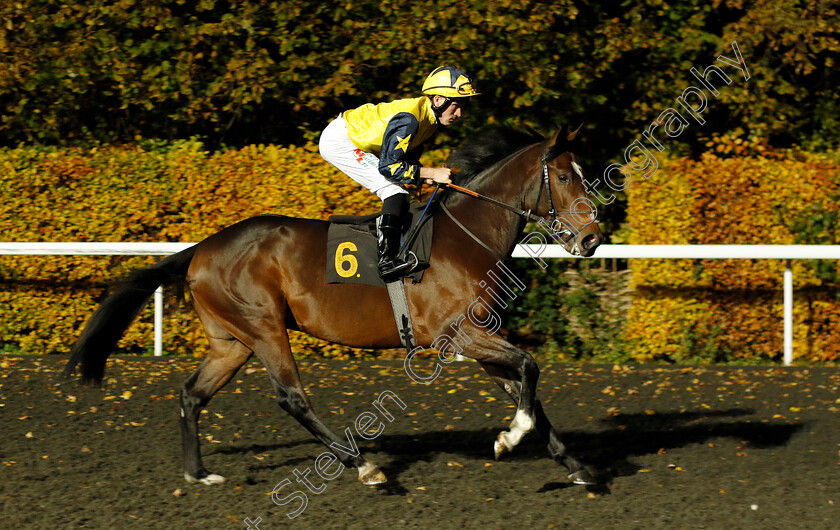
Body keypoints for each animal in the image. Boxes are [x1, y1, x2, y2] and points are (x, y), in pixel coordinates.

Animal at [64, 124, 604, 486]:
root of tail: (201, 249)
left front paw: (578, 467)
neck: (467, 237)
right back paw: (361, 465)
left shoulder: (478, 336)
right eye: (563, 176)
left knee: (193, 394)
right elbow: (530, 370)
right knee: (291, 397)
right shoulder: (459, 333)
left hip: (232, 341)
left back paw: (199, 473)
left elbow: (526, 390)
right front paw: (509, 439)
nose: (593, 239)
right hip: (263, 326)